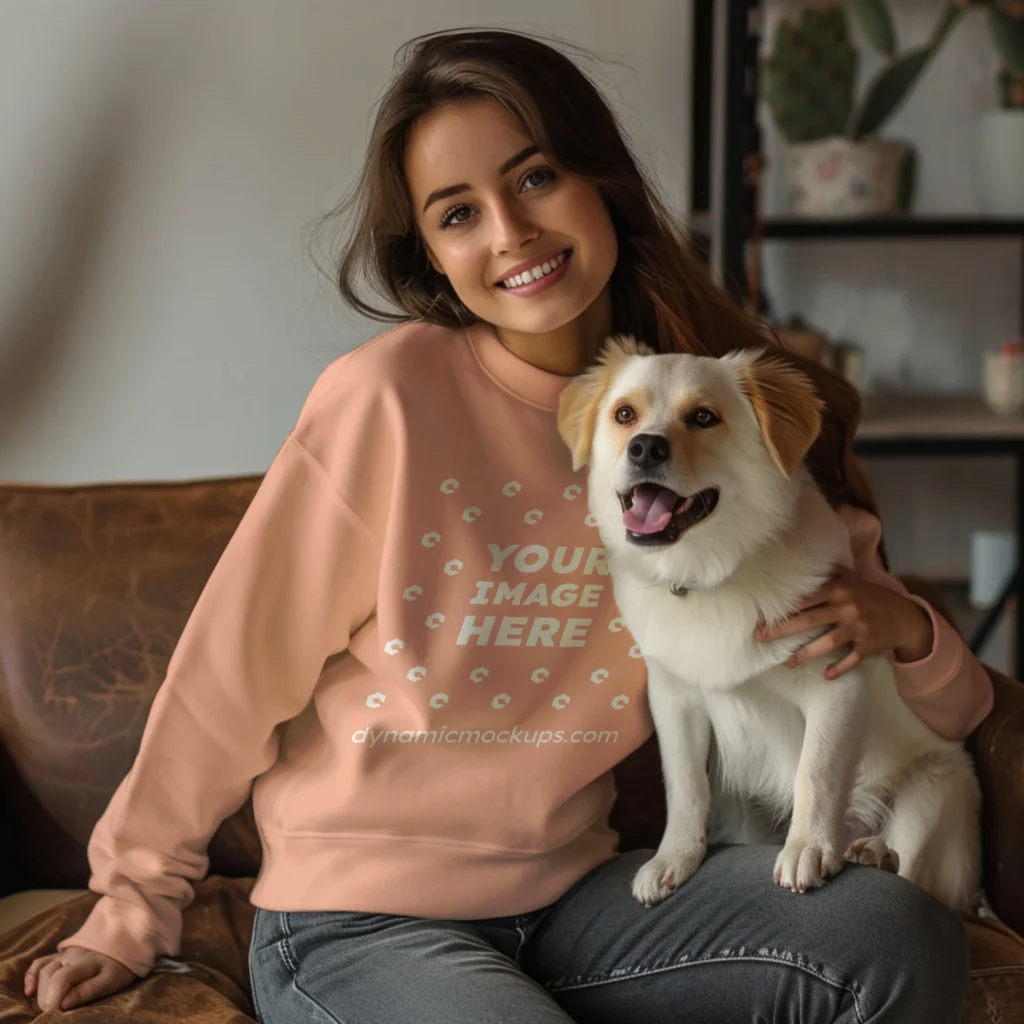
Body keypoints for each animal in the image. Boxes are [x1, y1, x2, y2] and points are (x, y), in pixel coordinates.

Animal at [561, 335, 983, 913]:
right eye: (624, 415)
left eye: (704, 417)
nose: (645, 447)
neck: (710, 574)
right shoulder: (674, 700)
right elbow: (685, 786)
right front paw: (674, 858)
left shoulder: (835, 682)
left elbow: (816, 774)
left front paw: (809, 848)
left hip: (935, 788)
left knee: (918, 871)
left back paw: (872, 851)